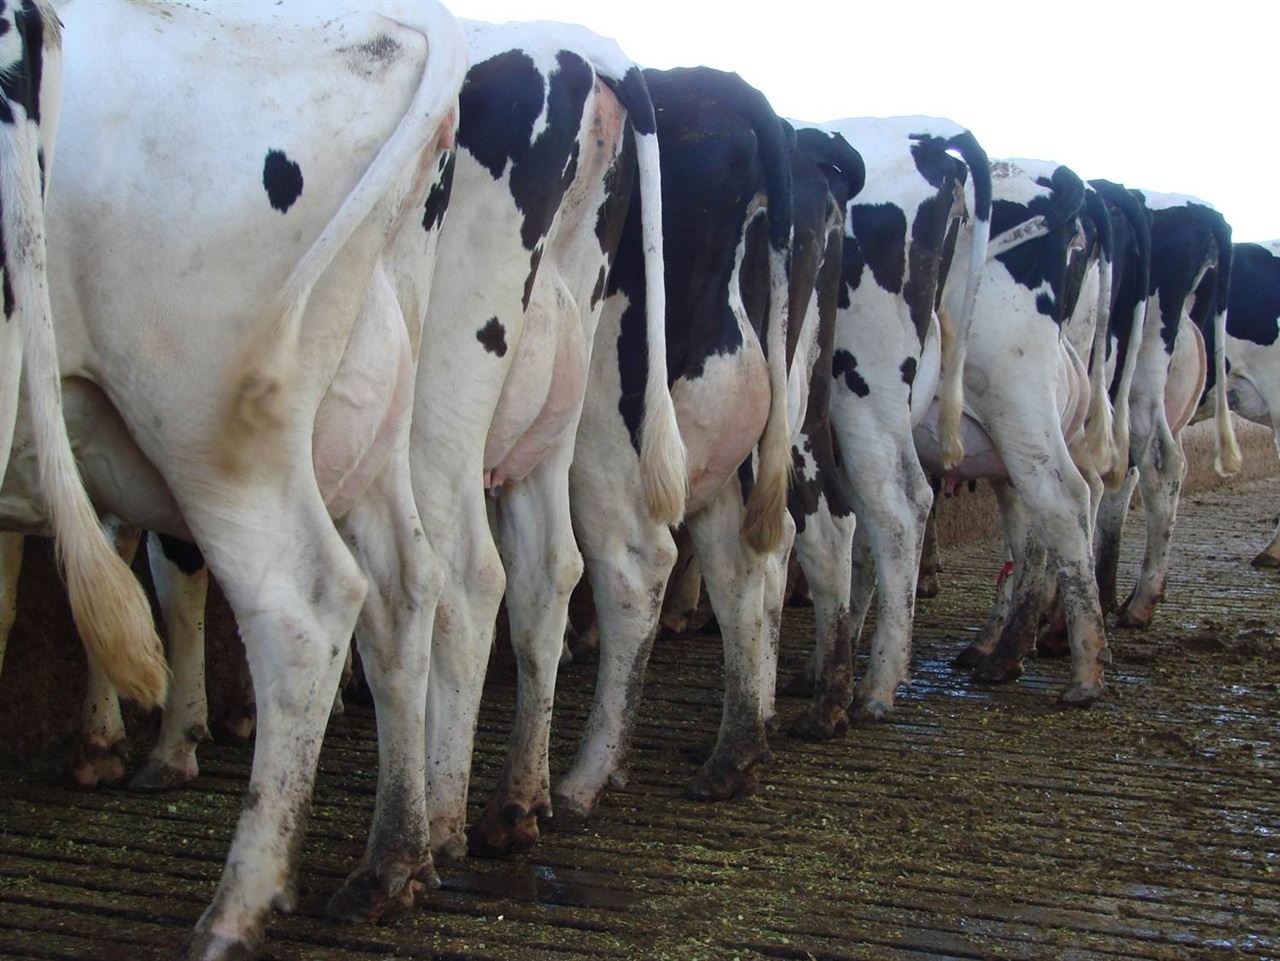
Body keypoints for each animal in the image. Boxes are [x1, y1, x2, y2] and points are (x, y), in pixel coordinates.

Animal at [45, 3, 466, 956]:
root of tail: (396, 25)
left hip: (199, 422)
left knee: (303, 610)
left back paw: (238, 907)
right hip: (372, 409)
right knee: (406, 587)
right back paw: (391, 863)